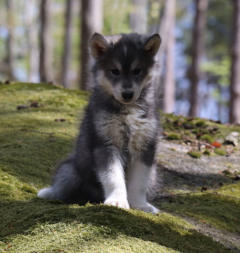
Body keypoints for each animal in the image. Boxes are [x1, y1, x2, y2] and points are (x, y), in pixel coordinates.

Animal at [37, 32, 161, 213]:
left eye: (137, 71)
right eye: (115, 71)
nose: (127, 94)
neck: (126, 111)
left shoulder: (145, 146)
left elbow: (139, 183)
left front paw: (139, 205)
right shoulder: (105, 144)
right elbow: (113, 177)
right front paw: (117, 201)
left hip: (154, 173)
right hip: (69, 170)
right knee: (63, 188)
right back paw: (49, 193)